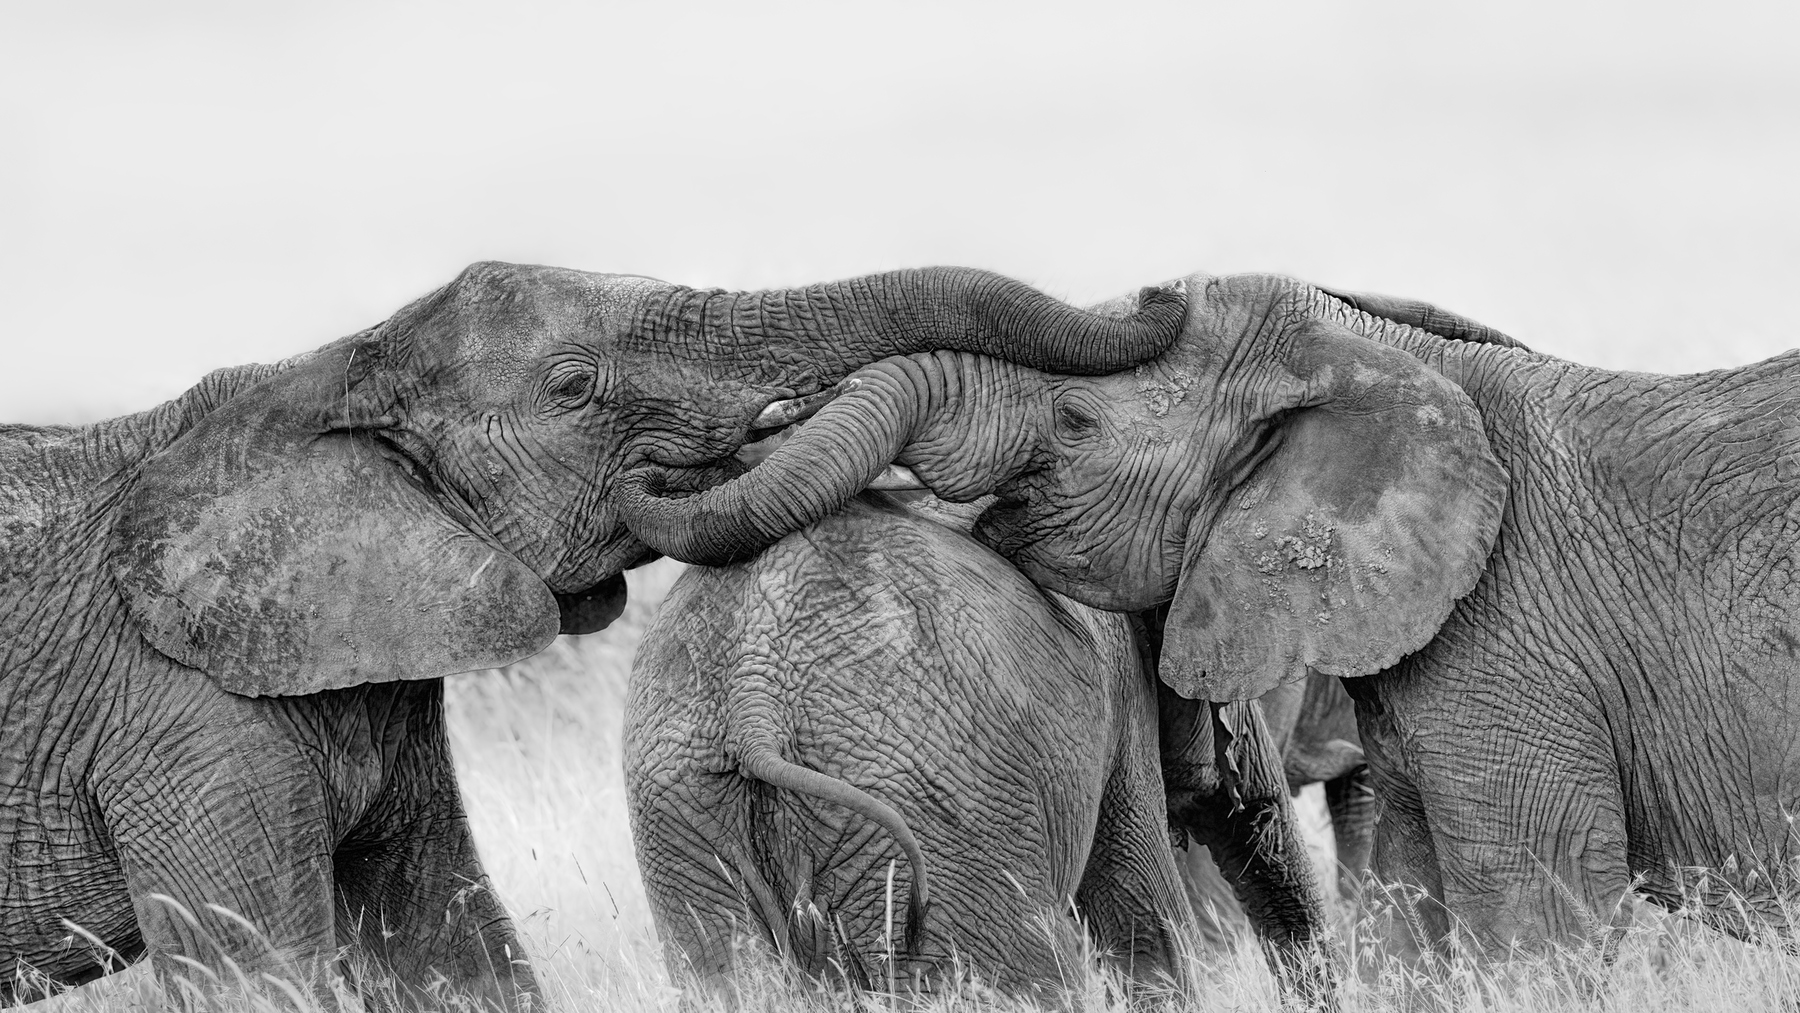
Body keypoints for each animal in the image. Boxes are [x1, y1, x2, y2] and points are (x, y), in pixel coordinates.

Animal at [0, 262, 1186, 1007]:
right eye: (573, 386)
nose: (1167, 288)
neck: (318, 375)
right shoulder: (179, 720)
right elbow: (254, 974)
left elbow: (448, 946)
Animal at [623, 493, 1329, 1004]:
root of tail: (754, 694)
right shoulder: (1119, 703)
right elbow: (1144, 927)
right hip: (940, 806)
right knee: (1026, 979)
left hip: (680, 814)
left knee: (732, 979)